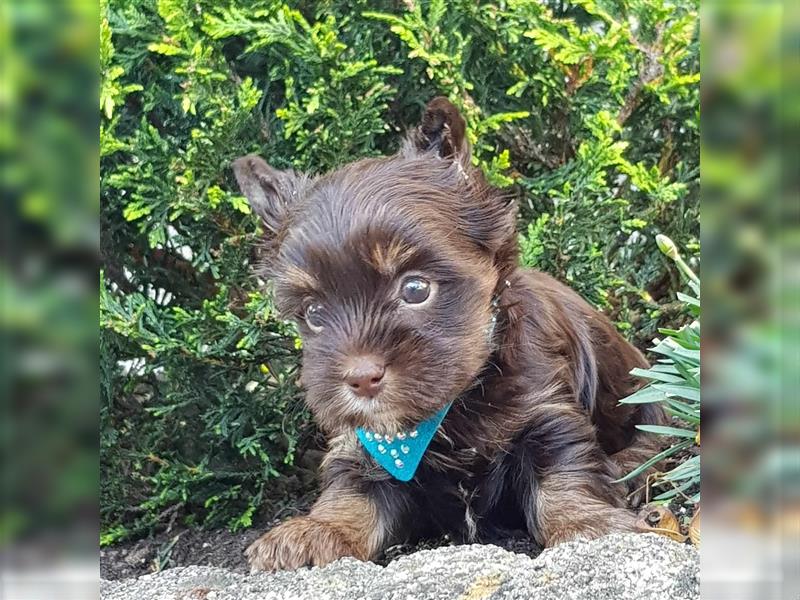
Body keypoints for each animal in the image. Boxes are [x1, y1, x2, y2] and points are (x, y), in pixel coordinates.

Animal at [231, 97, 664, 572]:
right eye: (313, 313)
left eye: (415, 289)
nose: (361, 379)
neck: (453, 402)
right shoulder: (360, 446)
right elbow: (352, 491)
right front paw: (316, 530)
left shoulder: (547, 410)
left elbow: (562, 471)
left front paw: (587, 525)